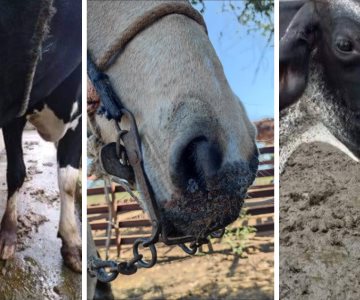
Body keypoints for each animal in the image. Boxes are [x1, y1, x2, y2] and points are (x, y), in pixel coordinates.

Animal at [0, 0, 82, 272]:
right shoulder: (15, 115)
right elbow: (16, 172)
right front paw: (8, 233)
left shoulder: (79, 121)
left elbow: (68, 180)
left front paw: (72, 242)